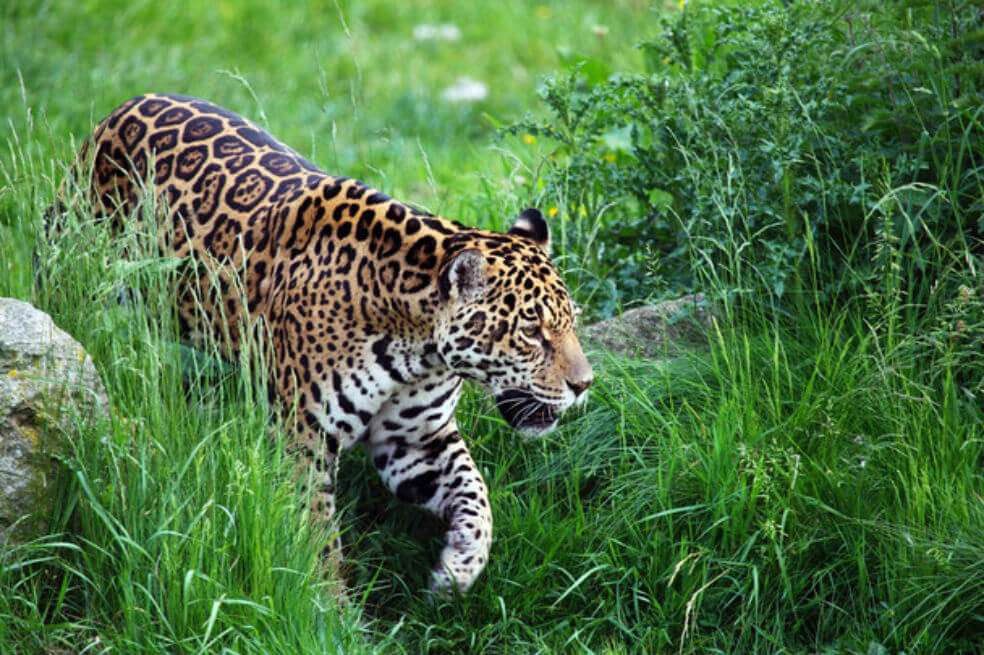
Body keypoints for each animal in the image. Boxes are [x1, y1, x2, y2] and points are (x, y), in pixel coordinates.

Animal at [55, 93, 593, 594]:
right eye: (532, 332)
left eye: (572, 323)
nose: (585, 385)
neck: (417, 348)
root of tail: (126, 105)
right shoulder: (303, 440)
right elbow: (317, 535)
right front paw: (330, 606)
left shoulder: (415, 441)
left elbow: (476, 493)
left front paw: (460, 566)